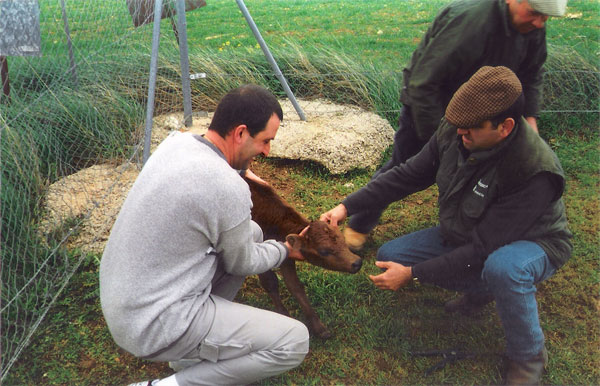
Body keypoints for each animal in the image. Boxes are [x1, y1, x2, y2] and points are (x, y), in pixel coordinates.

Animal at [244, 176, 360, 340]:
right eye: (324, 251)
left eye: (343, 240)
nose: (357, 262)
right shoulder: (257, 257)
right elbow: (270, 282)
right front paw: (283, 315)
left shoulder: (286, 258)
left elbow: (295, 286)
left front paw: (319, 328)